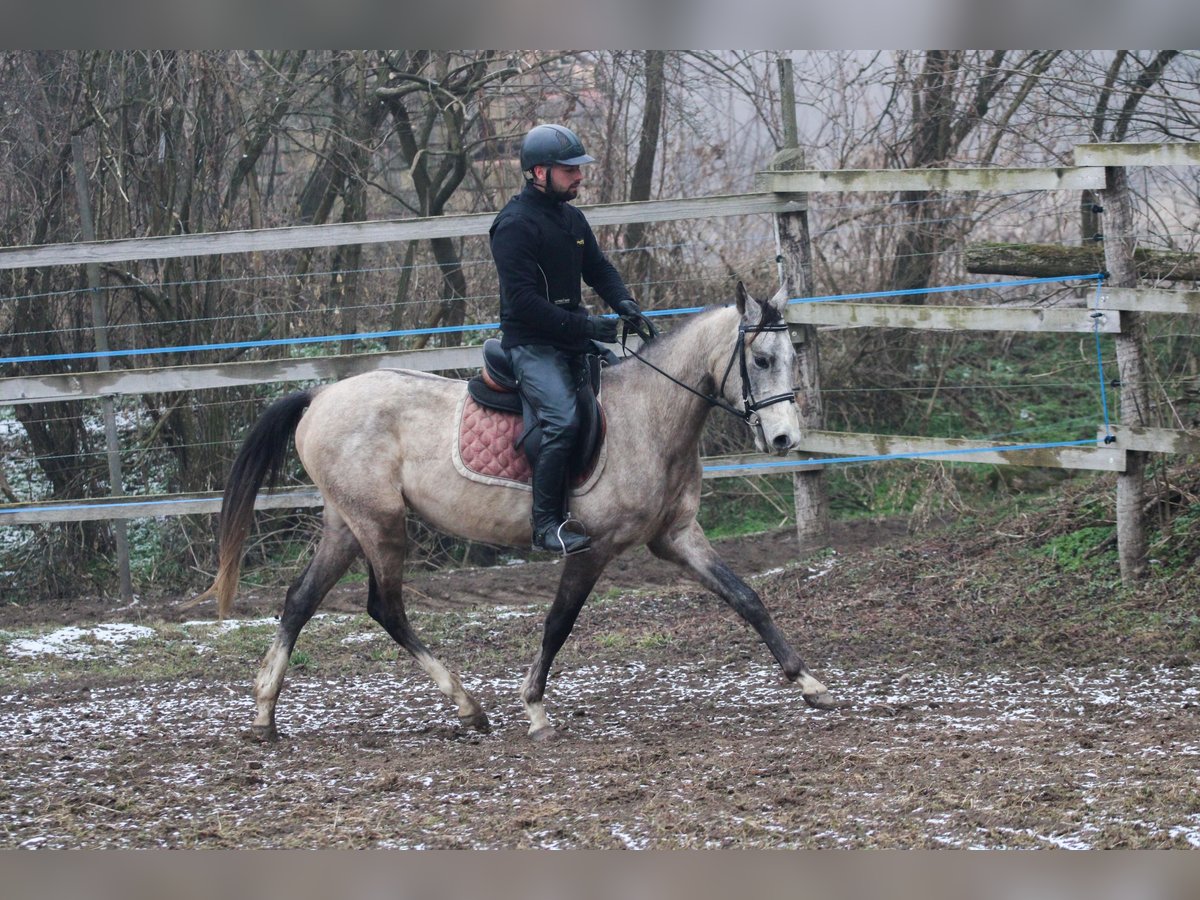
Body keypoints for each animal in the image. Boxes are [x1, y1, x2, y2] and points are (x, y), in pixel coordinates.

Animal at [199, 285, 835, 744]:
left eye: (792, 355)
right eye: (761, 358)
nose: (785, 438)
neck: (650, 415)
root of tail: (320, 397)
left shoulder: (676, 536)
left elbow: (746, 598)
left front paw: (810, 683)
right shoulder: (593, 547)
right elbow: (559, 623)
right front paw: (534, 711)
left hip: (345, 523)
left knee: (301, 600)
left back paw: (265, 716)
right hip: (380, 524)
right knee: (386, 608)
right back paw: (467, 707)